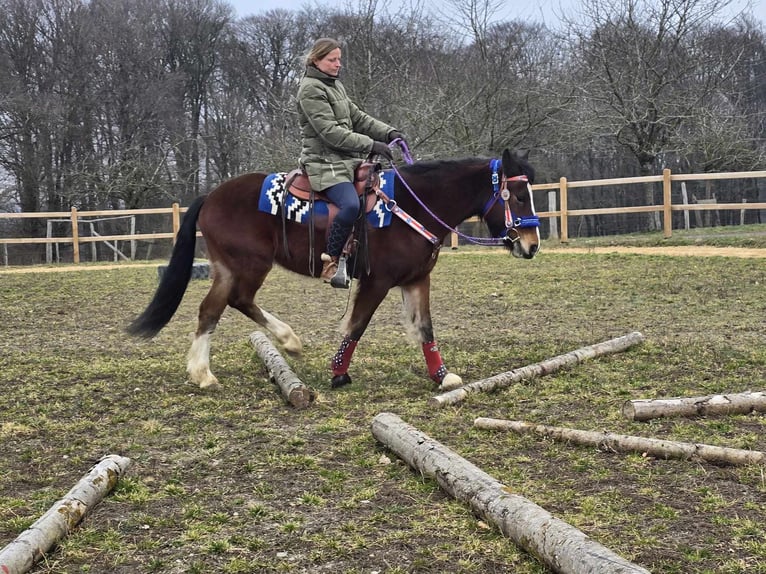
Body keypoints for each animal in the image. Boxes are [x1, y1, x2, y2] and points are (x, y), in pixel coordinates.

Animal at [127, 148, 540, 392]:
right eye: (519, 196)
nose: (532, 245)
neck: (412, 207)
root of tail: (211, 196)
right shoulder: (378, 281)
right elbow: (357, 325)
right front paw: (338, 371)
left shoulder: (416, 280)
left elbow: (425, 329)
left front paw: (441, 376)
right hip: (245, 265)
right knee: (220, 306)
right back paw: (209, 371)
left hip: (234, 268)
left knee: (228, 304)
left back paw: (278, 344)